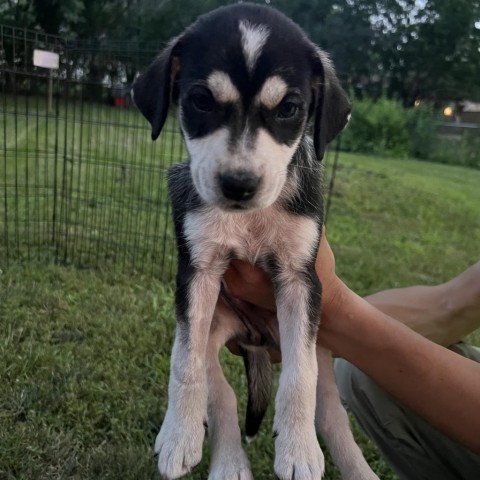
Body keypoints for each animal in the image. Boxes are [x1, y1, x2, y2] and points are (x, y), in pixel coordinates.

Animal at [134, 3, 378, 480]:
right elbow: (183, 361)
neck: (248, 220)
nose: (239, 185)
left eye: (289, 108)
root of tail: (259, 339)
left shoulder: (301, 279)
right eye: (201, 100)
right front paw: (177, 436)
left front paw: (298, 450)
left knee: (330, 413)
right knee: (222, 395)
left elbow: (300, 379)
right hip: (217, 328)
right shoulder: (197, 274)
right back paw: (228, 463)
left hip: (321, 344)